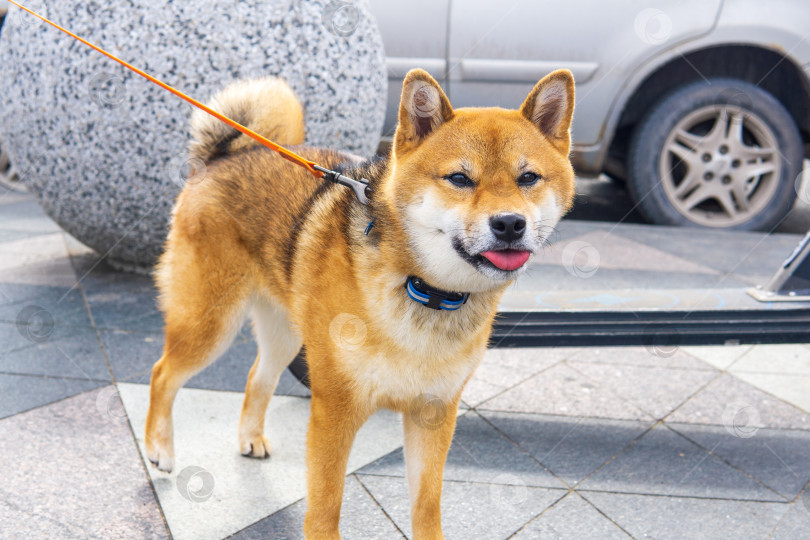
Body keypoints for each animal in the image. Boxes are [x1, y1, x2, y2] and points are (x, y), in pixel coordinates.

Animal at [145, 69, 576, 536]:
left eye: (528, 178)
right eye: (460, 179)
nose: (510, 224)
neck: (424, 290)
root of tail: (225, 156)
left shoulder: (433, 412)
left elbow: (427, 505)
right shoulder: (335, 409)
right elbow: (326, 506)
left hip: (286, 336)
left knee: (256, 377)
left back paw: (250, 438)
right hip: (211, 324)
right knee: (163, 372)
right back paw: (159, 449)